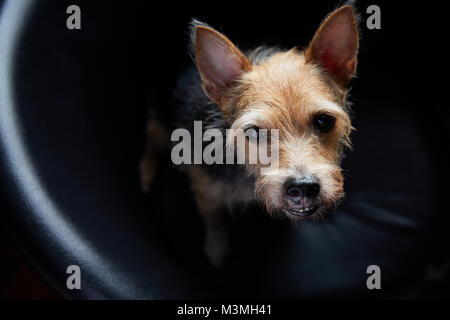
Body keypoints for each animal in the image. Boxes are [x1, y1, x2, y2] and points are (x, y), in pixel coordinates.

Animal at [140, 3, 358, 268]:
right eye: (254, 131)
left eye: (324, 121)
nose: (304, 188)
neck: (246, 169)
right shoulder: (205, 190)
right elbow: (214, 221)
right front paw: (216, 249)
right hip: (160, 124)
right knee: (151, 138)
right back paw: (146, 172)